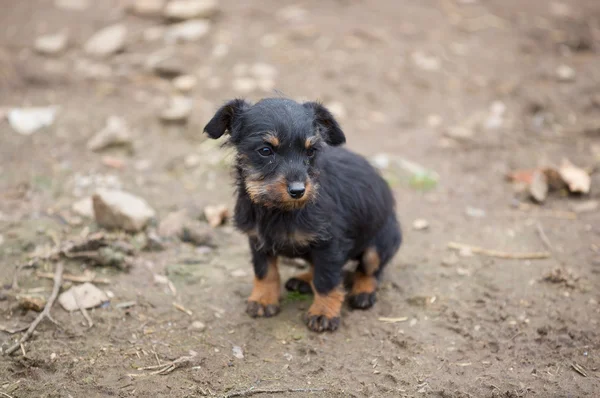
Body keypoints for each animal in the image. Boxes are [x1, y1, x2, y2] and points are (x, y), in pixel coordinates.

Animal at [203, 97, 404, 332]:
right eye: (265, 150)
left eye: (310, 151)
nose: (298, 191)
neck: (279, 209)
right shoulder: (257, 240)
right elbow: (265, 272)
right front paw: (263, 299)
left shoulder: (330, 244)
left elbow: (326, 280)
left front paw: (323, 312)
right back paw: (304, 280)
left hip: (380, 243)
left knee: (370, 270)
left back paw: (363, 291)